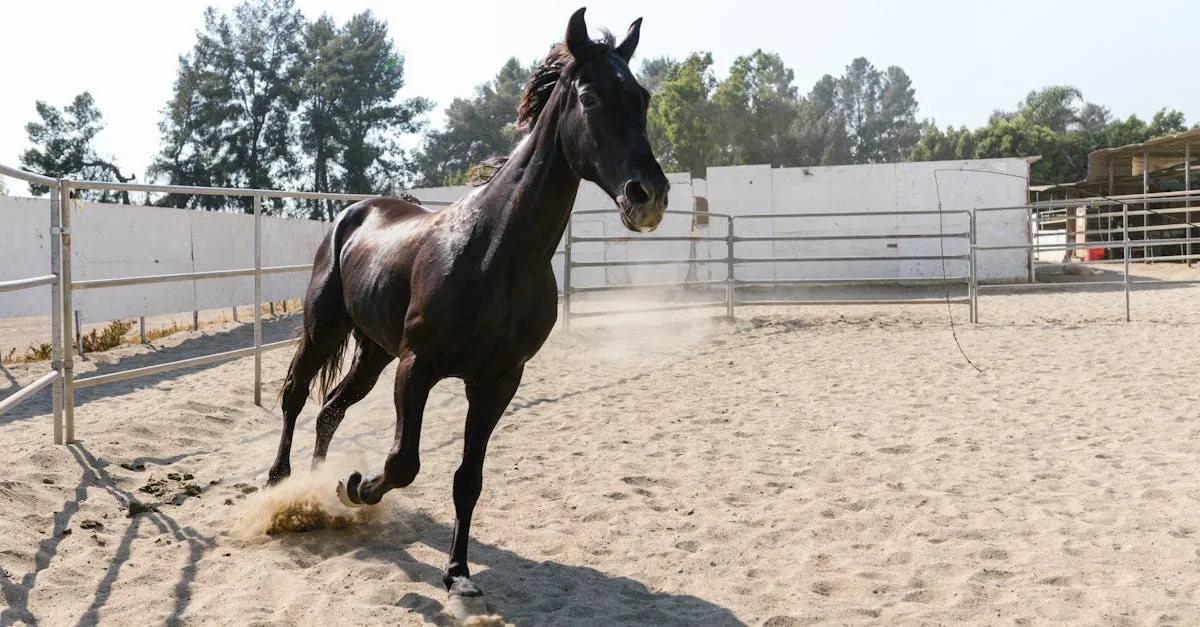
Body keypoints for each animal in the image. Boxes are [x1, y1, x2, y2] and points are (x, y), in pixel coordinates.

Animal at [265, 7, 669, 606]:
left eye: (641, 96)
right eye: (591, 97)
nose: (649, 196)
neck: (495, 253)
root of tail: (353, 212)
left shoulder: (498, 380)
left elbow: (467, 479)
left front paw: (457, 573)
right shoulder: (417, 367)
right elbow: (402, 462)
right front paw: (358, 486)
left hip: (374, 353)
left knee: (330, 409)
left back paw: (318, 494)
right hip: (325, 328)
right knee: (296, 395)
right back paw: (282, 484)